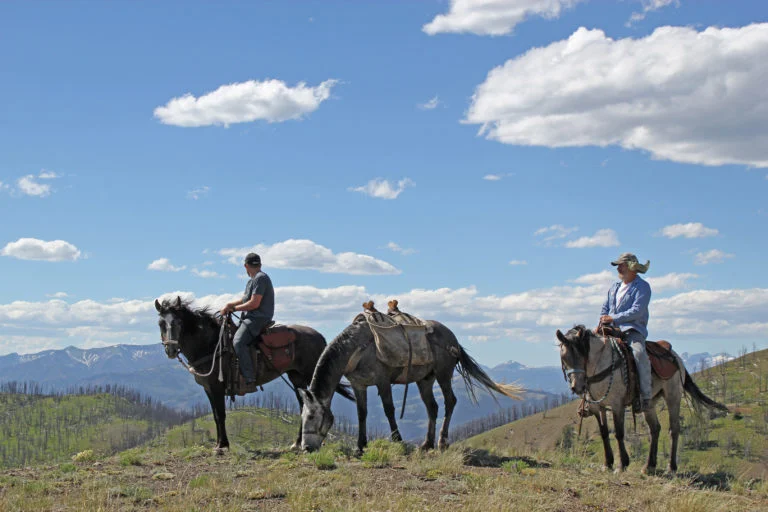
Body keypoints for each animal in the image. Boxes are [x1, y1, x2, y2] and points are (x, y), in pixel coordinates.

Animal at [156, 298, 354, 454]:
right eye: (161, 324)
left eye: (178, 322)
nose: (170, 350)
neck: (211, 345)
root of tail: (320, 337)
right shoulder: (208, 389)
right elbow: (215, 415)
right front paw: (220, 444)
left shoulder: (217, 387)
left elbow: (220, 415)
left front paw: (223, 446)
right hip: (296, 377)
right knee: (303, 405)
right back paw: (297, 443)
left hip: (310, 374)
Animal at [298, 314, 520, 454]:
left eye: (311, 416)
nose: (306, 448)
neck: (356, 348)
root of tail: (453, 339)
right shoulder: (358, 385)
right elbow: (362, 413)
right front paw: (360, 446)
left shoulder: (383, 382)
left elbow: (388, 410)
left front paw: (398, 440)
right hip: (425, 379)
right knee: (432, 407)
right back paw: (427, 444)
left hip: (443, 374)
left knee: (450, 402)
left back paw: (442, 442)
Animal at [560, 326, 728, 474]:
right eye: (564, 358)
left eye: (581, 354)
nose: (577, 387)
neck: (602, 363)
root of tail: (676, 357)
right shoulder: (598, 406)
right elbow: (604, 433)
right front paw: (607, 464)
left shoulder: (617, 404)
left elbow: (619, 433)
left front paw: (622, 464)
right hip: (650, 403)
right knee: (655, 428)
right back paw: (649, 466)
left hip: (673, 396)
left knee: (674, 429)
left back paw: (671, 467)